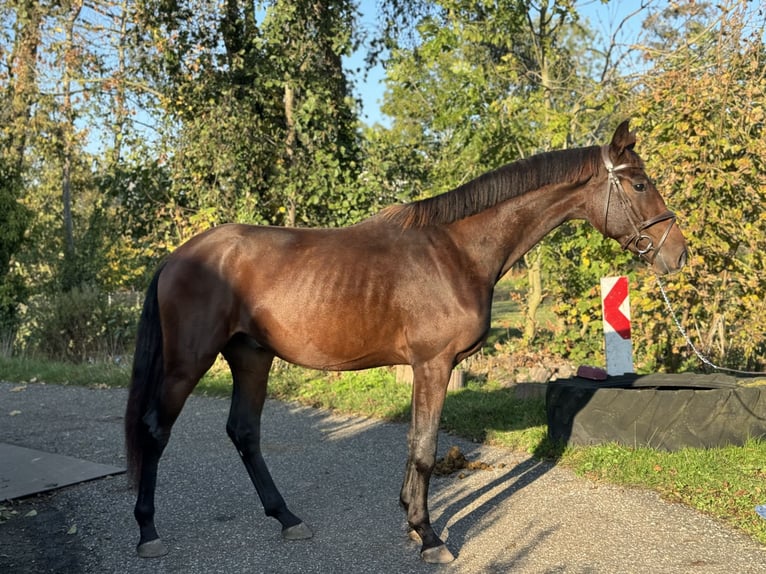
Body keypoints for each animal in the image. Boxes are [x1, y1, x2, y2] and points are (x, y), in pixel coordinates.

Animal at [124, 121, 688, 568]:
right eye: (640, 183)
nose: (677, 254)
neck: (457, 251)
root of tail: (179, 256)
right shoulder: (434, 364)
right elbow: (424, 449)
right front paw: (430, 536)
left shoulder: (425, 367)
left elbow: (416, 442)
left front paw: (410, 519)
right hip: (187, 364)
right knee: (155, 431)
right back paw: (148, 532)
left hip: (250, 357)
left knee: (244, 432)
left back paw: (287, 518)